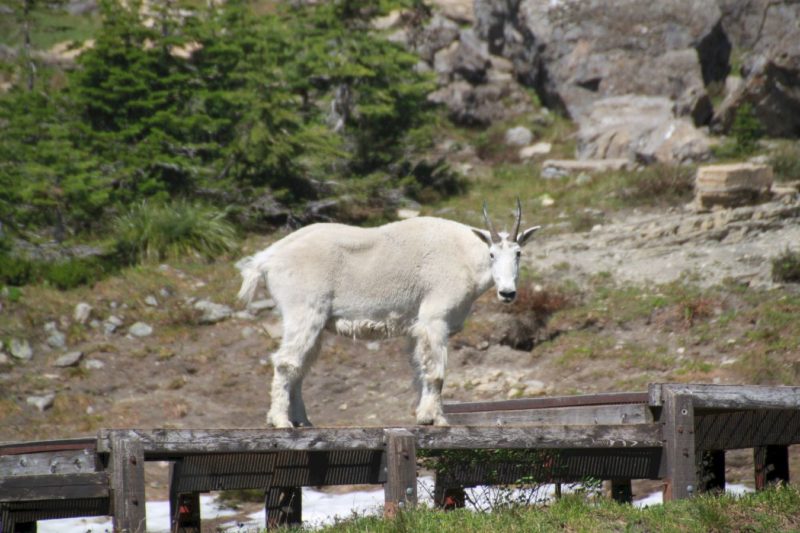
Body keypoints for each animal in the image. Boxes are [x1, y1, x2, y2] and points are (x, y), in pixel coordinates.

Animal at [234, 201, 540, 428]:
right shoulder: (435, 320)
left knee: (301, 365)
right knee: (285, 362)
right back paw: (280, 422)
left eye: (519, 253)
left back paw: (303, 422)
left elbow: (419, 369)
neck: (465, 257)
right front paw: (439, 420)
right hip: (304, 312)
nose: (507, 293)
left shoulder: (417, 327)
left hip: (314, 323)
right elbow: (436, 373)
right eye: (492, 254)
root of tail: (267, 259)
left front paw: (423, 417)